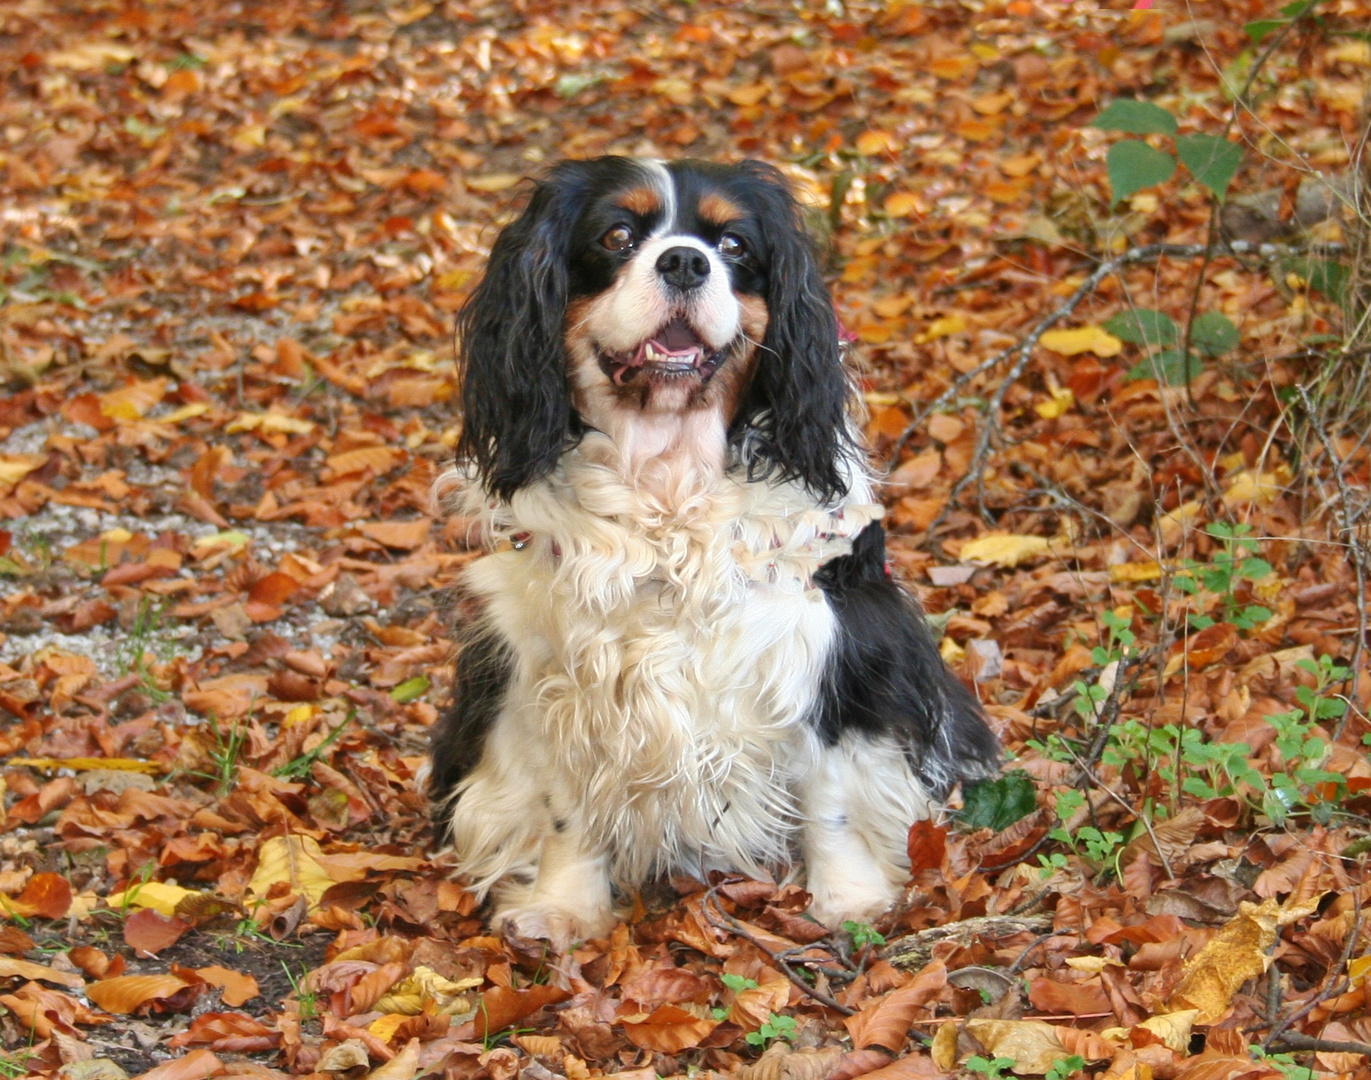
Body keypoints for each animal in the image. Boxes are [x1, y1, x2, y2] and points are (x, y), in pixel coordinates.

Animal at [427, 154, 998, 942]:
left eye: (732, 246)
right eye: (615, 236)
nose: (684, 261)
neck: (668, 479)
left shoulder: (827, 649)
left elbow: (830, 794)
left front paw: (848, 898)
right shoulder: (549, 665)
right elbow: (566, 804)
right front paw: (563, 906)